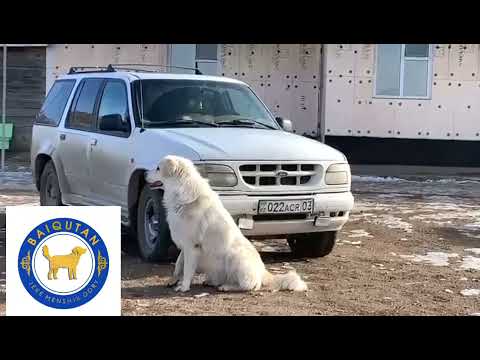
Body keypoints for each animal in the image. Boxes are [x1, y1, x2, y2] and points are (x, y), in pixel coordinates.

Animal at [144, 155, 308, 292]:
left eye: (158, 168)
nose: (144, 174)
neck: (181, 191)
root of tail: (263, 272)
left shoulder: (192, 246)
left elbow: (187, 270)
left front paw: (184, 287)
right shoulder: (184, 245)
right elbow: (178, 265)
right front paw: (173, 280)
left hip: (234, 257)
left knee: (251, 286)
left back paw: (227, 286)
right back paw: (212, 282)